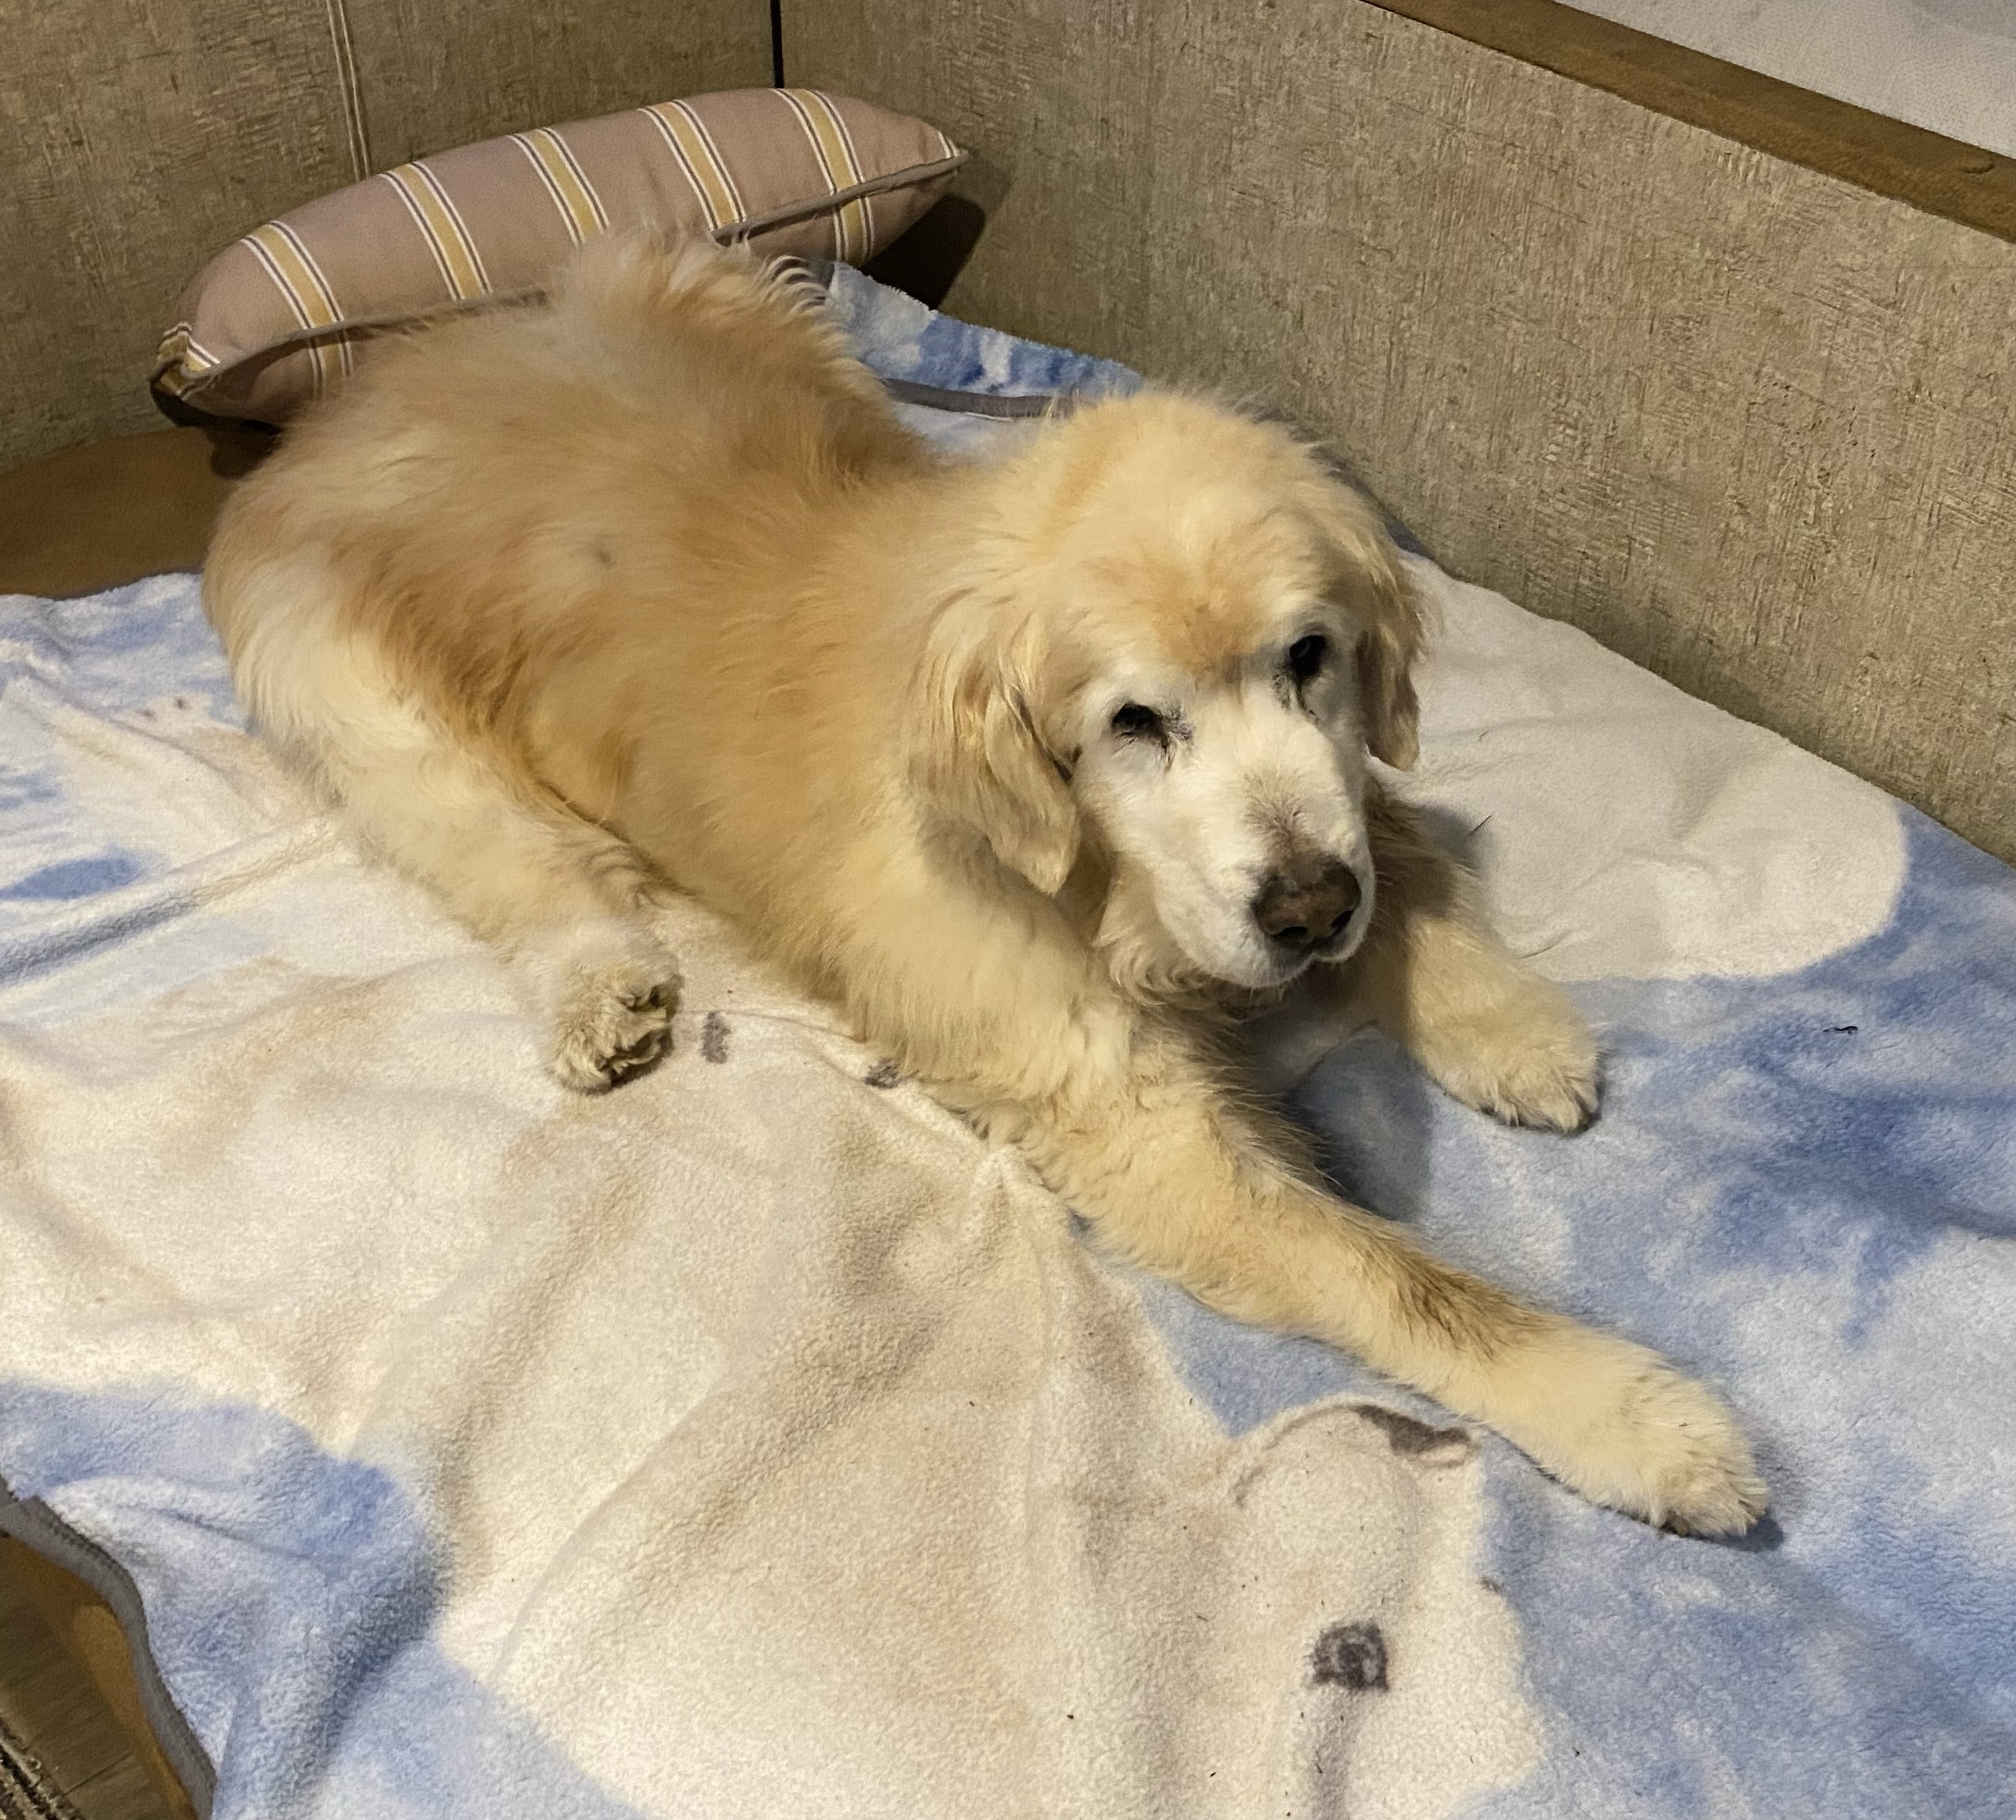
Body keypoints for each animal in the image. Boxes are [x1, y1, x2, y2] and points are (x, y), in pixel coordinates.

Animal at [204, 234, 1766, 1535]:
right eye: (1134, 723)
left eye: (1309, 657)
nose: (1308, 915)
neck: (1100, 886)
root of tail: (375, 379)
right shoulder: (1141, 1127)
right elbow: (1409, 1280)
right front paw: (1641, 1417)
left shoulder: (1336, 812)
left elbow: (1404, 849)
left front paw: (1510, 1025)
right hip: (357, 701)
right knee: (515, 861)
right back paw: (606, 986)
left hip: (742, 293)